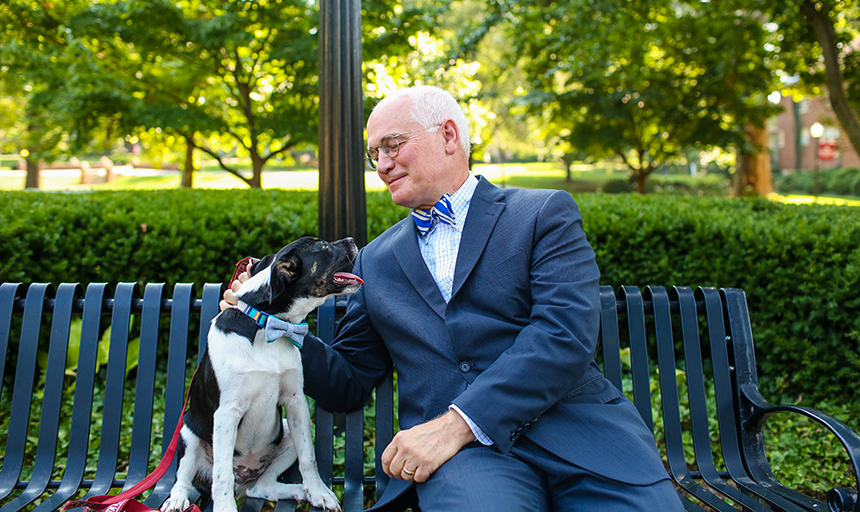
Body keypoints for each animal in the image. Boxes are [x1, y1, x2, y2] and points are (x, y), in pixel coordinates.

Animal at [163, 238, 362, 512]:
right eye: (323, 247)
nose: (352, 240)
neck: (266, 326)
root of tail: (244, 478)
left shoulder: (296, 400)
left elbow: (308, 457)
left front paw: (319, 492)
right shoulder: (226, 412)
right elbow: (222, 475)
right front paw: (224, 508)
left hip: (285, 433)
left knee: (260, 487)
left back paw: (296, 490)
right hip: (188, 433)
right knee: (184, 477)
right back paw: (177, 499)